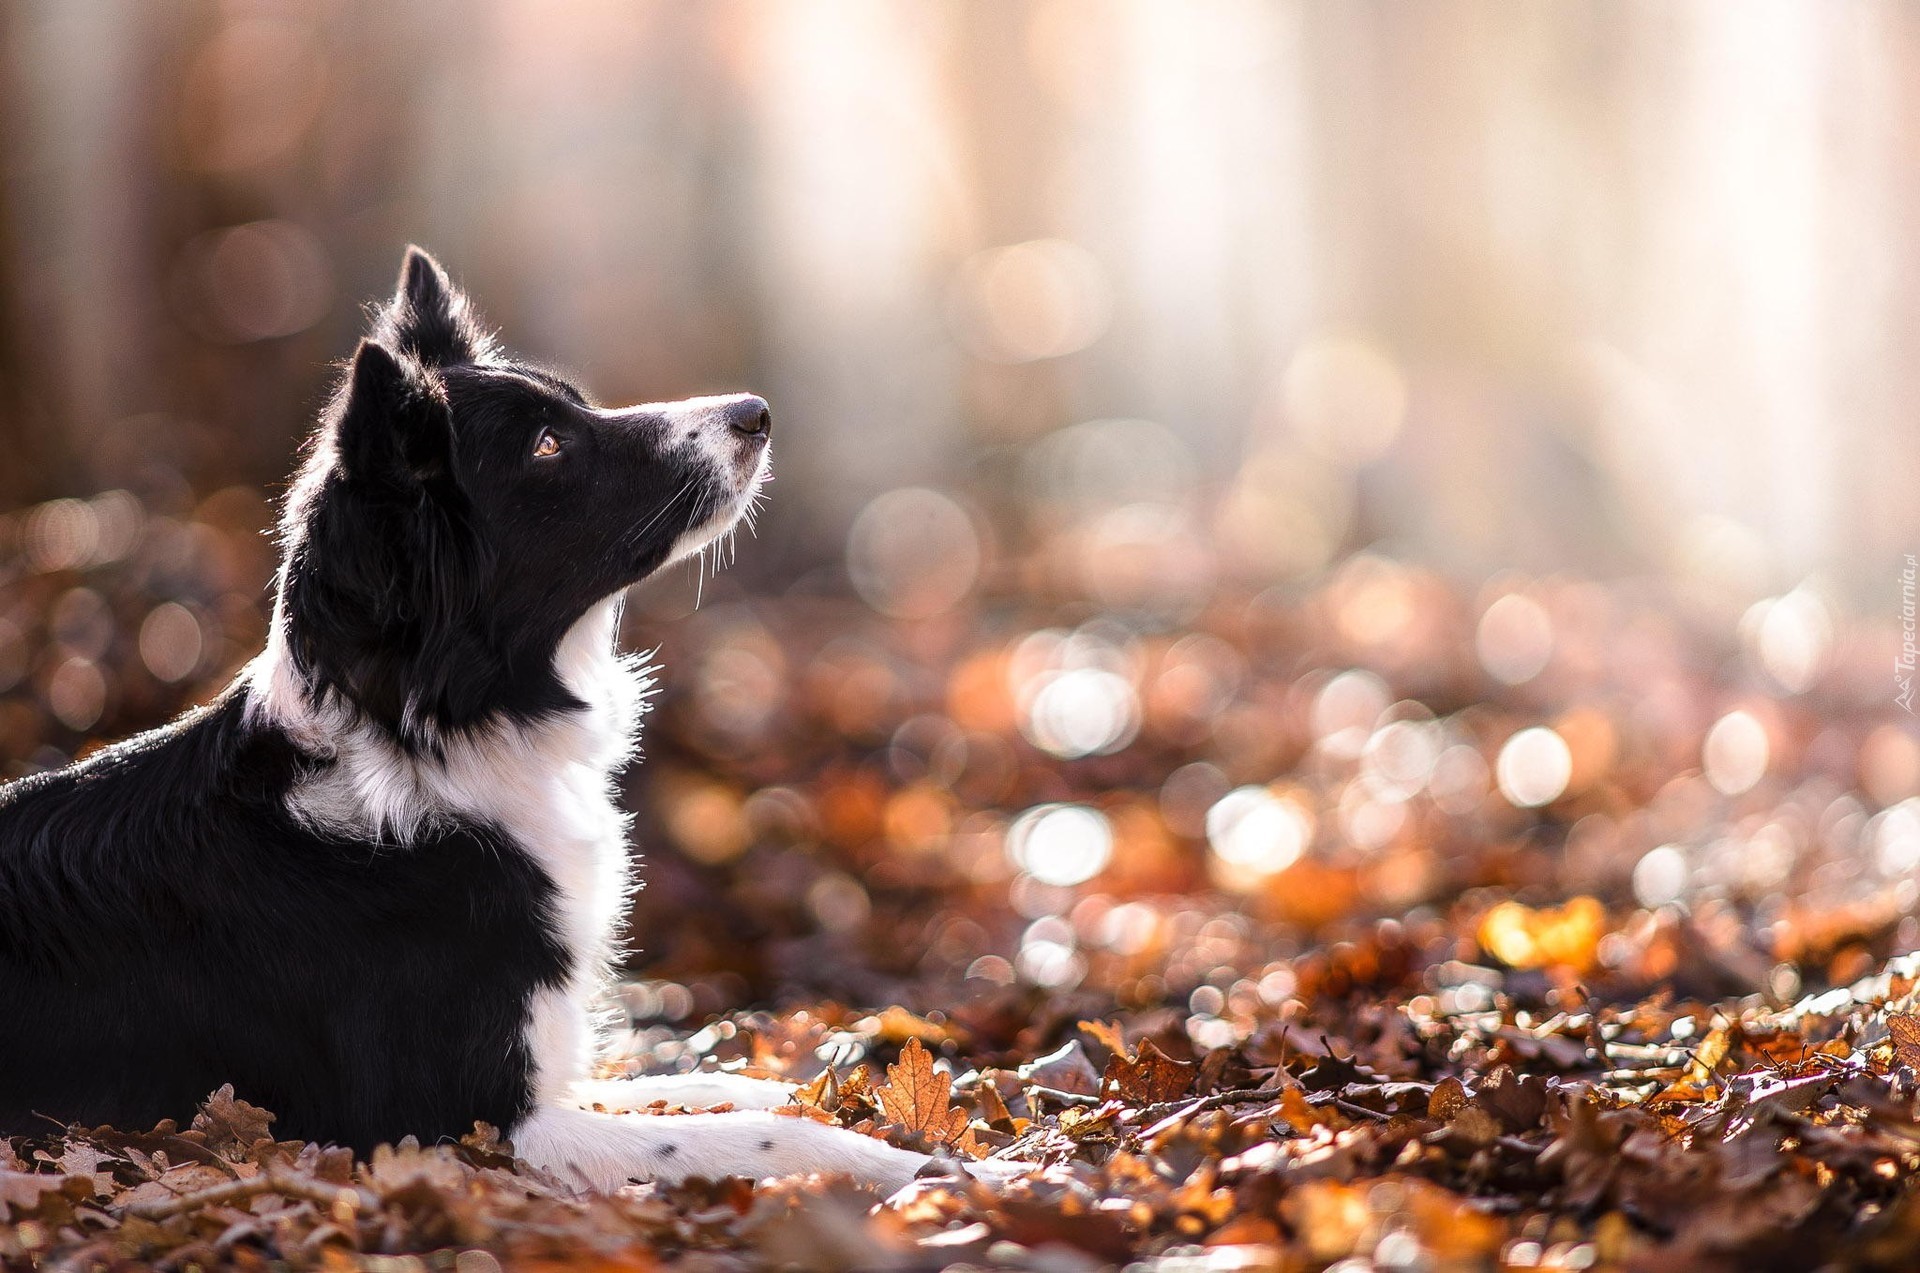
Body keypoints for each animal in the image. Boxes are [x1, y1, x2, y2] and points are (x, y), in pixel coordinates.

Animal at [0, 245, 990, 1198]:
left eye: (576, 408)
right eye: (549, 446)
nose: (755, 412)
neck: (435, 738)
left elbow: (692, 1085)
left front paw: (814, 1088)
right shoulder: (462, 1119)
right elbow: (755, 1137)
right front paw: (938, 1170)